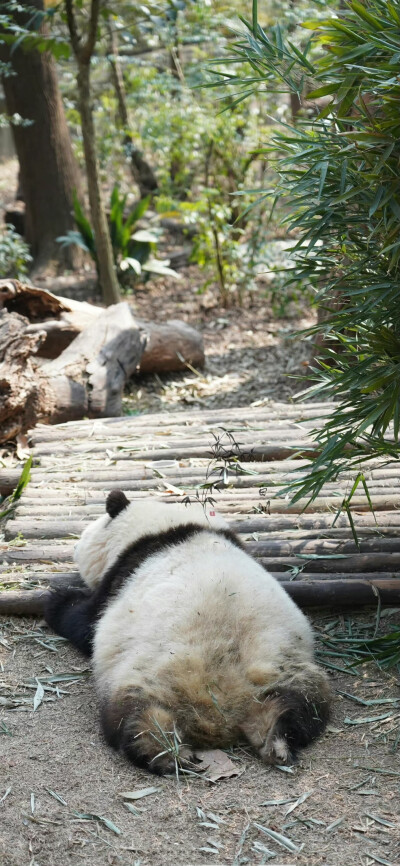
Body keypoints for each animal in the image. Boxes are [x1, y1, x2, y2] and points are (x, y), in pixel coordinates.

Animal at [44, 490, 332, 772]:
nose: (75, 546)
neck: (174, 527)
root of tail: (219, 710)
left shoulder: (121, 576)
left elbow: (87, 623)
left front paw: (57, 599)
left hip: (144, 677)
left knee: (135, 717)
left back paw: (163, 751)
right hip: (283, 672)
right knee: (299, 706)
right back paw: (278, 740)